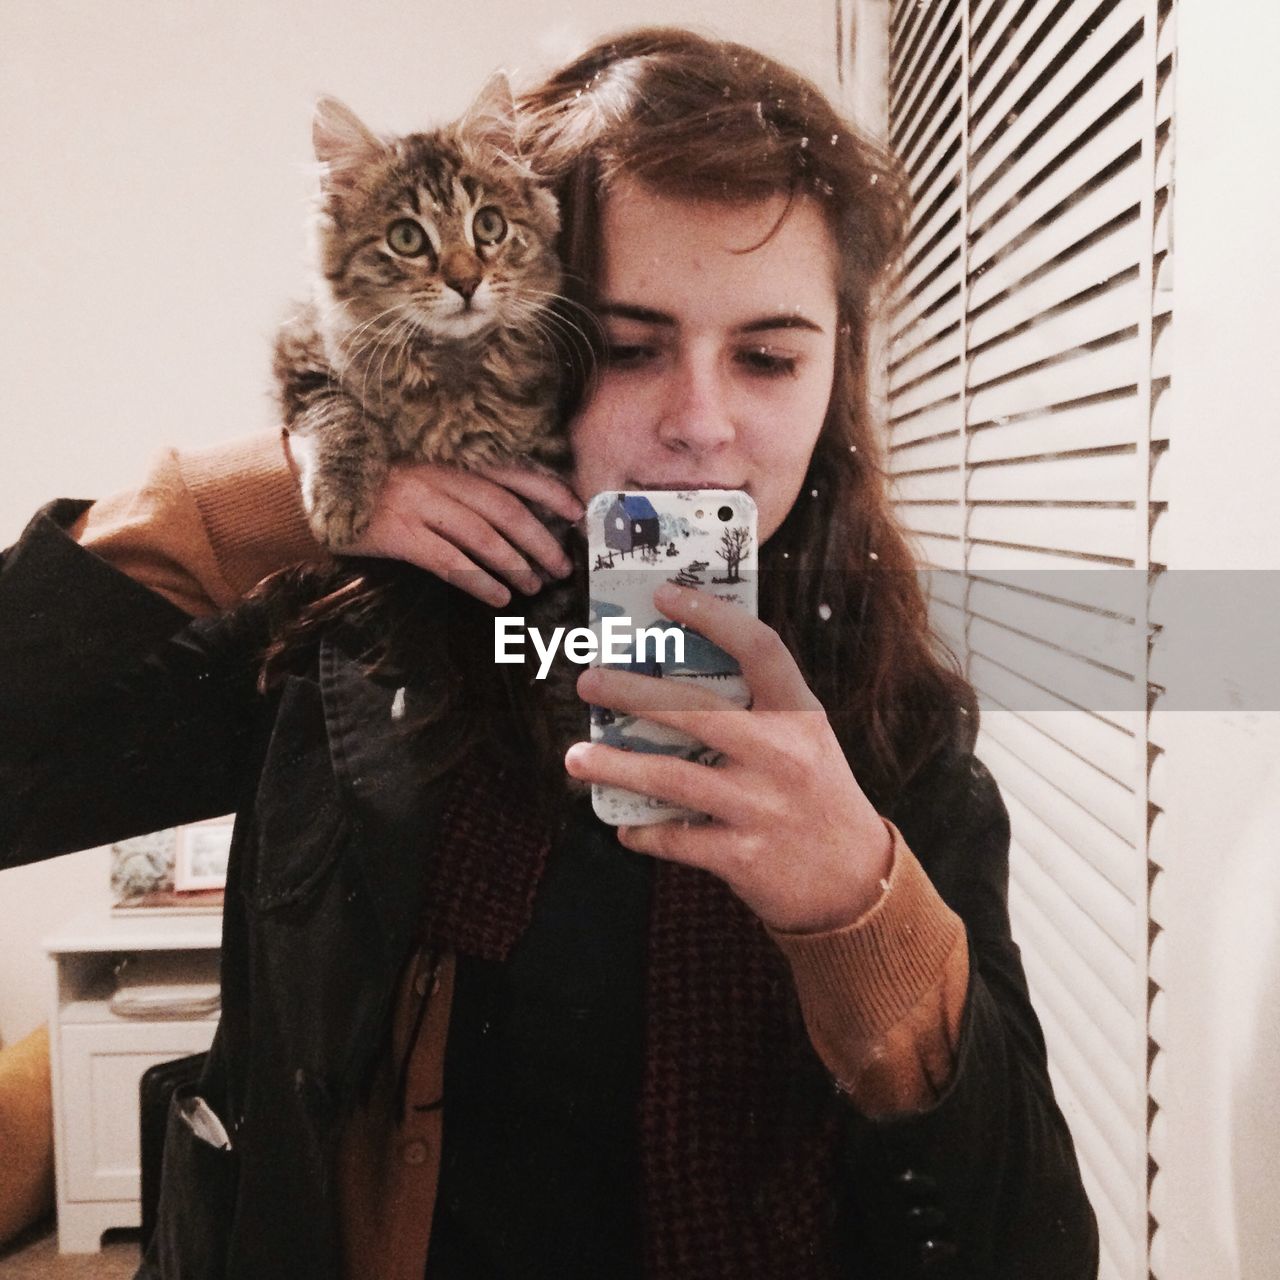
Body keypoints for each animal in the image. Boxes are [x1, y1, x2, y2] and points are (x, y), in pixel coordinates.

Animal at [272, 74, 563, 545]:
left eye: (489, 225)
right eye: (406, 238)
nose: (466, 283)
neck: (451, 365)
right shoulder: (301, 349)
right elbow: (341, 413)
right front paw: (339, 502)